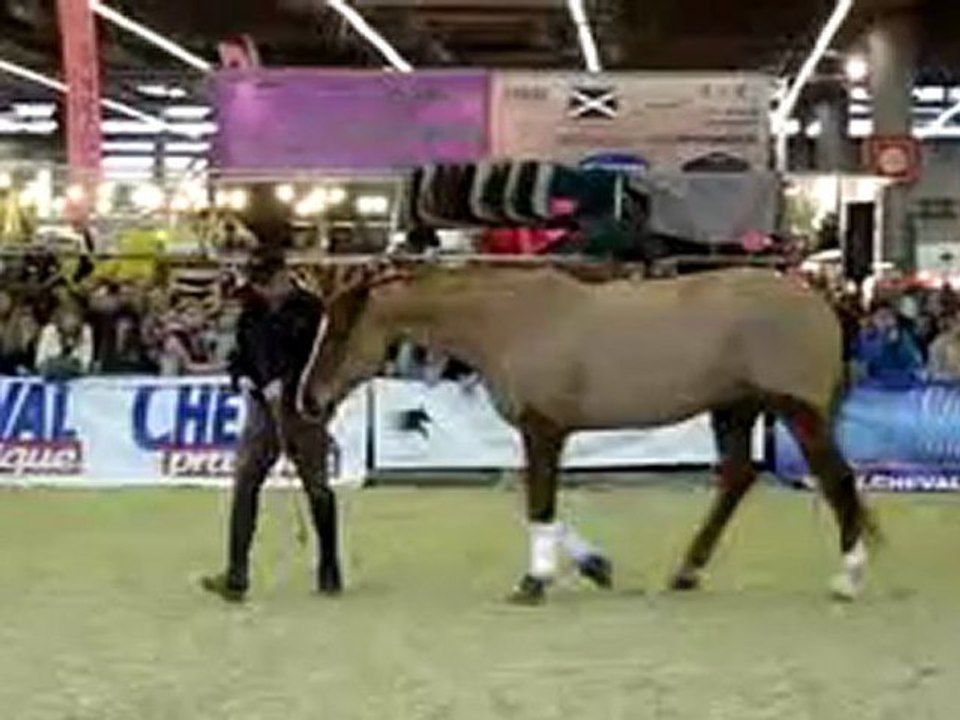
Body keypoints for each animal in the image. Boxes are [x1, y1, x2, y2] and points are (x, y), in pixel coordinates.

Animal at [296, 258, 879, 604]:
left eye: (339, 333)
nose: (307, 400)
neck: (508, 322)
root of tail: (819, 301)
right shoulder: (536, 436)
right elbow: (530, 498)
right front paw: (595, 565)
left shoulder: (543, 430)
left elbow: (539, 504)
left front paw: (534, 581)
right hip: (734, 410)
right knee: (736, 479)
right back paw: (686, 573)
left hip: (798, 412)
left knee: (837, 480)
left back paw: (848, 579)